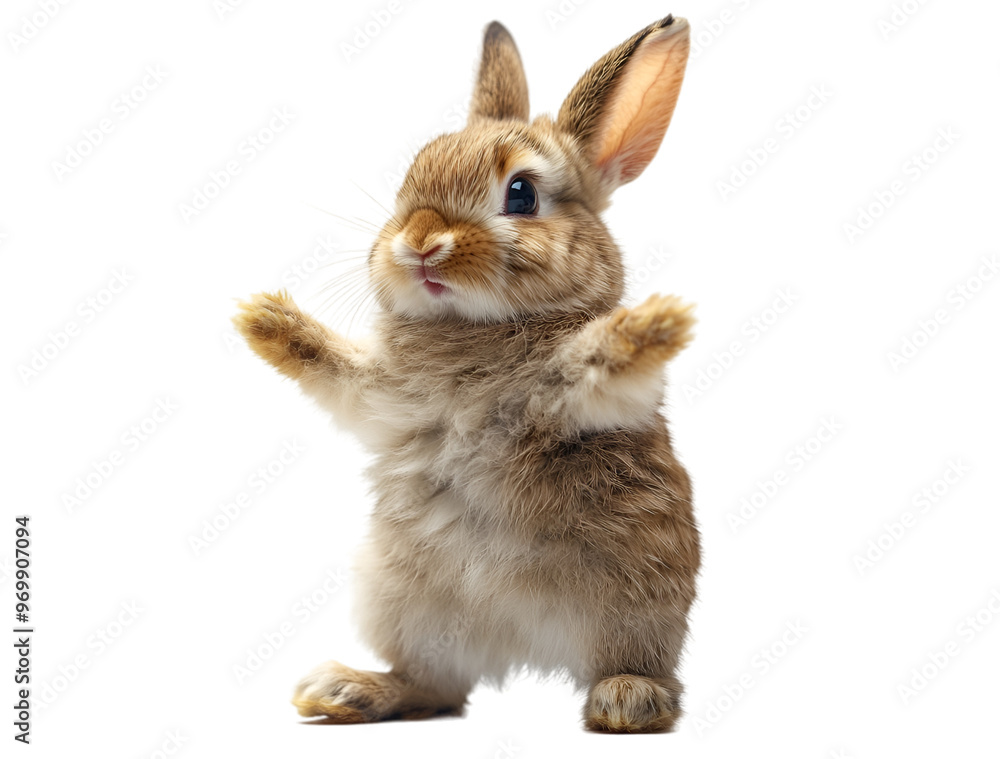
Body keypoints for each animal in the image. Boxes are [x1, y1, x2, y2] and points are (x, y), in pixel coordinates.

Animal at [233, 15, 699, 733]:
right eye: (412, 174)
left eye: (521, 193)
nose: (421, 241)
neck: (471, 329)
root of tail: (518, 646)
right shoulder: (381, 396)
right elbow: (340, 372)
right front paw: (264, 318)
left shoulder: (579, 397)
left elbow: (597, 360)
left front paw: (655, 322)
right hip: (406, 603)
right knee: (436, 686)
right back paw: (346, 690)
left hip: (635, 603)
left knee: (635, 670)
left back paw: (628, 699)